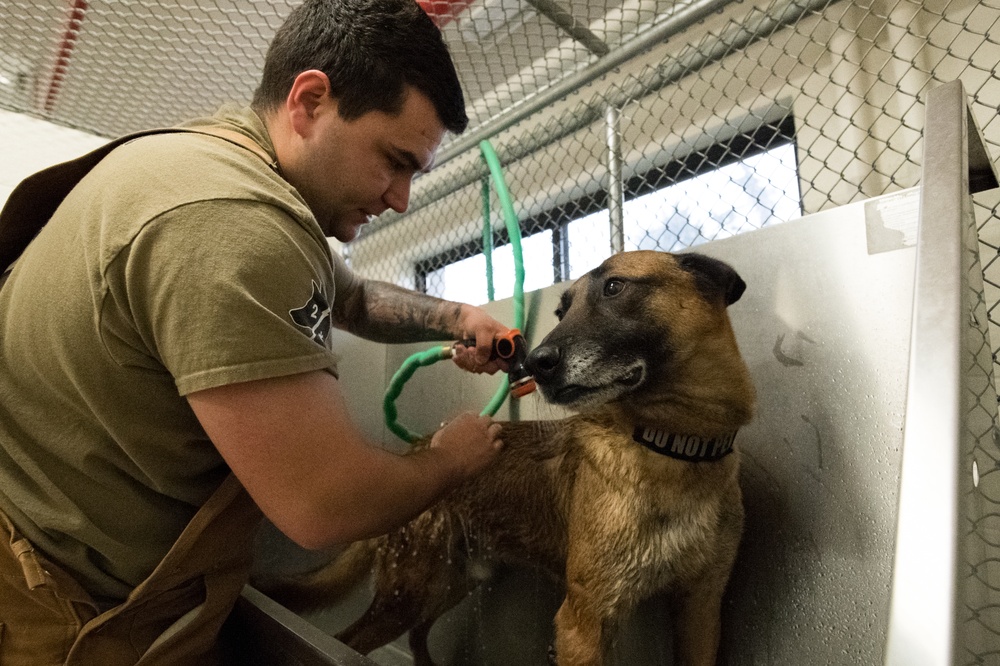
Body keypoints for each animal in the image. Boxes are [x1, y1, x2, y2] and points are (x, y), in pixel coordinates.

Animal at [262, 250, 752, 664]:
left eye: (614, 287)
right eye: (561, 311)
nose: (538, 363)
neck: (674, 444)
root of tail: (414, 449)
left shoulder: (701, 609)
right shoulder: (586, 619)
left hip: (451, 582)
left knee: (418, 634)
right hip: (408, 590)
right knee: (348, 640)